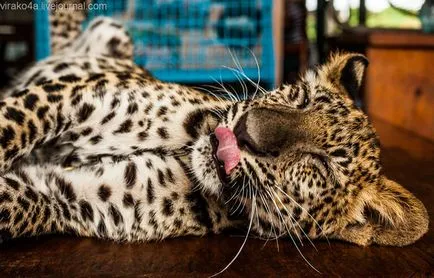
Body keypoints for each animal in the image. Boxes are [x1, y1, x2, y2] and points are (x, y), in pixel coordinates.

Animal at [0, 1, 428, 253]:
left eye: (320, 165)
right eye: (301, 98)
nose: (246, 132)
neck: (182, 148)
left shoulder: (67, 197)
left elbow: (15, 203)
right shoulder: (75, 99)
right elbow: (12, 124)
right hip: (108, 31)